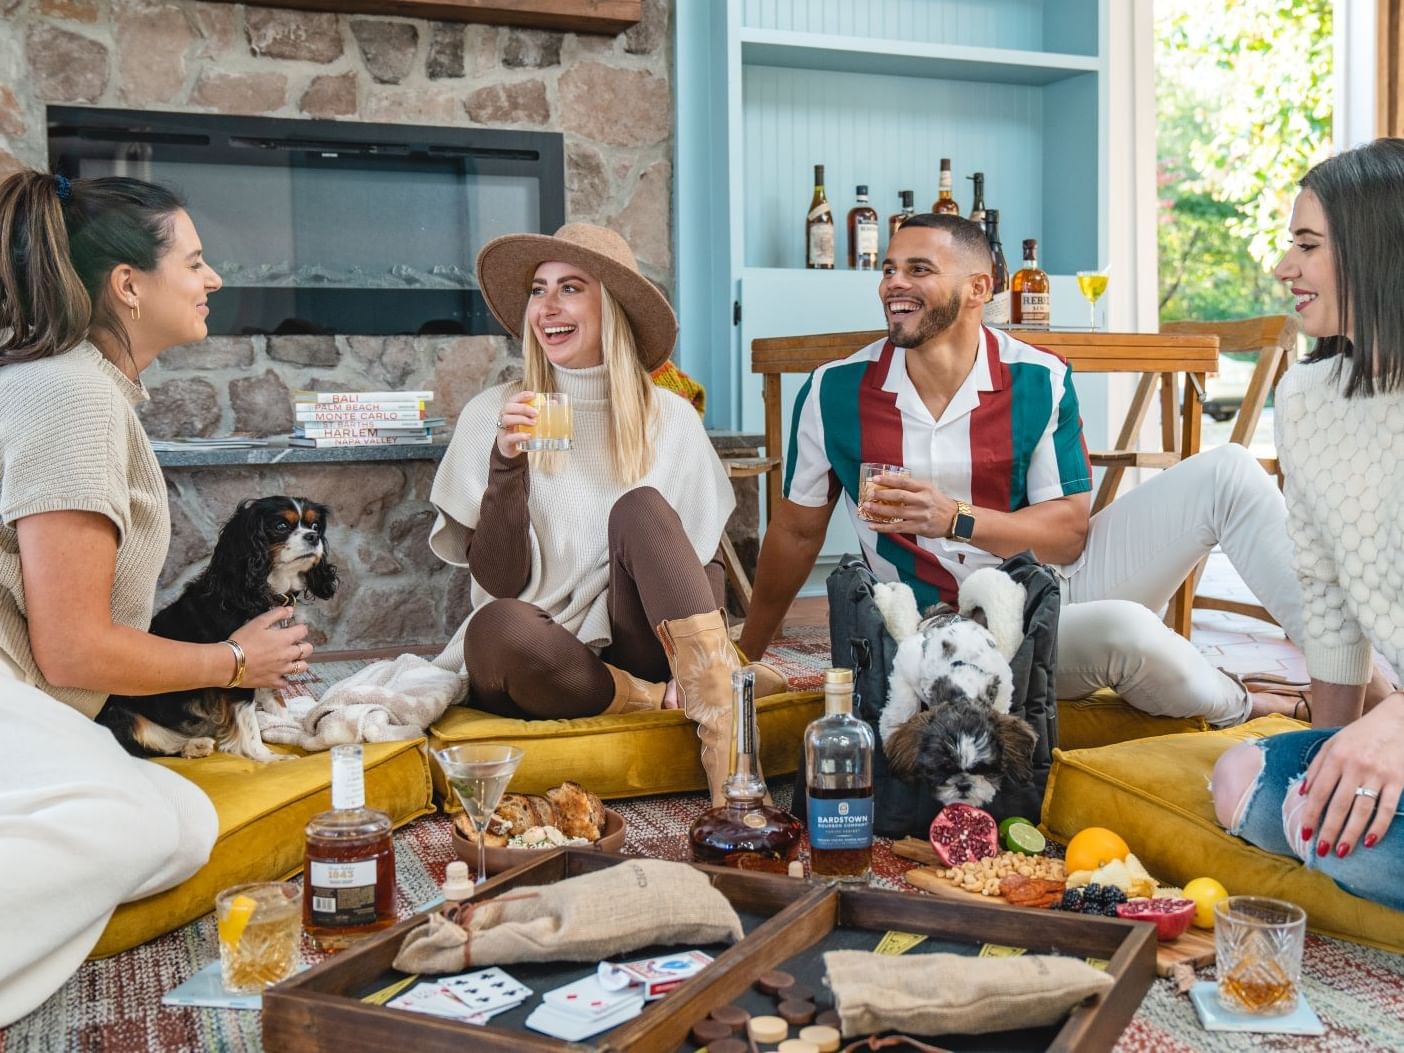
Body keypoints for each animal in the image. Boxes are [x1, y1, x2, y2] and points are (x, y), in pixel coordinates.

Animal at [98, 499, 336, 763]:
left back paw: (195, 745)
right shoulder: (245, 672)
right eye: (281, 525)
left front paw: (289, 725)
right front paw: (267, 757)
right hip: (121, 714)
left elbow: (276, 699)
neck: (262, 593)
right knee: (143, 747)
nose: (313, 536)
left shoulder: (272, 663)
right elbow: (248, 722)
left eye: (315, 525)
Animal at [876, 572, 1044, 814]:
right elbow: (902, 704)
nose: (964, 785)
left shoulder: (1004, 687)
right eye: (942, 768)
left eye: (984, 769)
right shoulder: (906, 665)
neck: (963, 677)